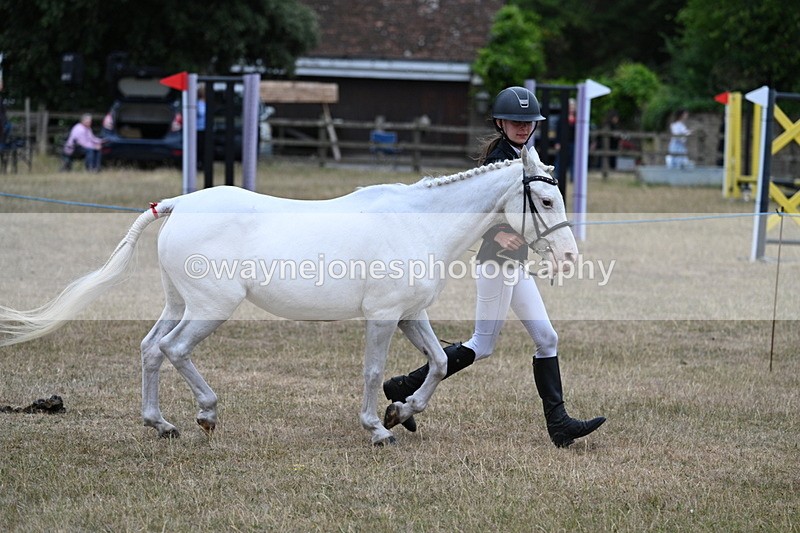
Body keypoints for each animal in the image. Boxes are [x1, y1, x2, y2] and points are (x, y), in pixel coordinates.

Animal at [0, 146, 577, 446]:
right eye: (546, 199)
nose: (569, 256)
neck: (416, 222)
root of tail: (178, 204)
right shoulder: (384, 316)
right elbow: (373, 371)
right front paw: (378, 428)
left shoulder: (410, 314)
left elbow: (437, 362)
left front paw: (402, 411)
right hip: (209, 309)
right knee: (174, 350)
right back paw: (206, 414)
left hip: (179, 303)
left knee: (149, 349)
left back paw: (160, 423)